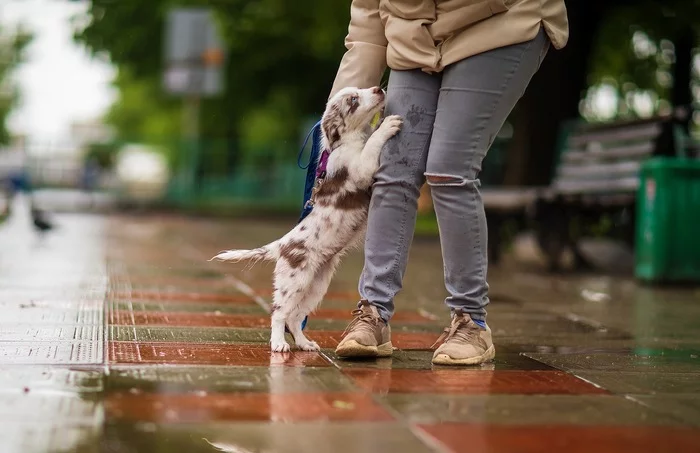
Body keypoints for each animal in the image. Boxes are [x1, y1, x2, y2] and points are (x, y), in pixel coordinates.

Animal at [211, 86, 402, 352]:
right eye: (353, 100)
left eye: (360, 90)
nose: (377, 88)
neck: (349, 141)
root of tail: (280, 245)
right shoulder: (361, 170)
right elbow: (373, 144)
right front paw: (387, 125)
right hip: (294, 282)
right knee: (279, 314)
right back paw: (279, 344)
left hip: (316, 285)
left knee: (295, 317)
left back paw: (304, 344)